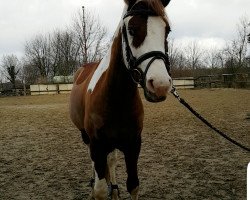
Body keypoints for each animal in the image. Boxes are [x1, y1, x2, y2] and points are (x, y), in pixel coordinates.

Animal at [69, 0, 173, 199]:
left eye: (167, 30)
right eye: (131, 29)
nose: (160, 84)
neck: (116, 98)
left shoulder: (133, 145)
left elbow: (133, 185)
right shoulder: (97, 145)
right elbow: (100, 190)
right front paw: (99, 188)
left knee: (111, 161)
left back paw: (115, 189)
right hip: (86, 137)